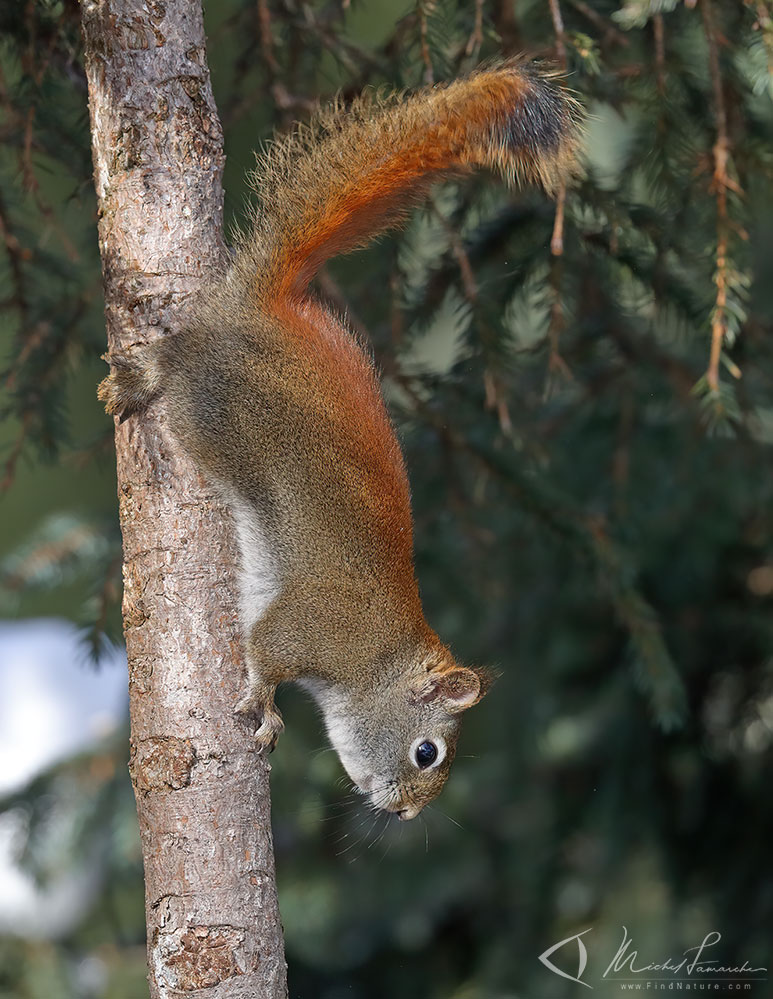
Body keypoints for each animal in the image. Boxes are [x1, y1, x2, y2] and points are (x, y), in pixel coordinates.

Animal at [102, 64, 584, 820]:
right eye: (427, 752)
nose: (406, 812)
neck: (382, 655)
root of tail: (262, 307)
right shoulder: (313, 627)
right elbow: (264, 652)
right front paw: (265, 705)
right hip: (212, 410)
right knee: (176, 363)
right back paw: (142, 375)